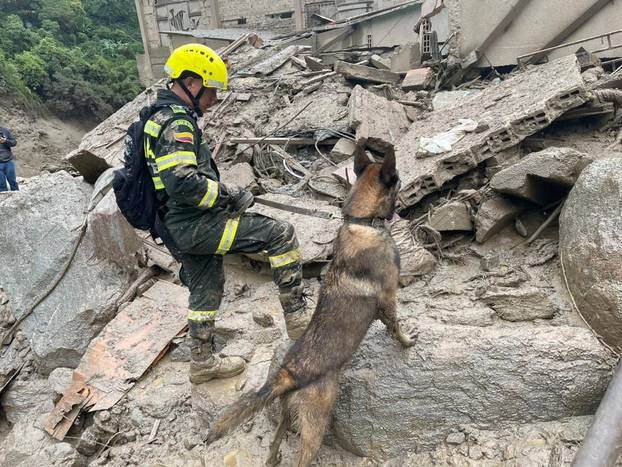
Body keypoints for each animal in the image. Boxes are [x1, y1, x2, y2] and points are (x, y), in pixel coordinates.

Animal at [207, 144, 416, 466]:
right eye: (399, 182)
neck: (361, 220)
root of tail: (287, 374)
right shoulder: (388, 294)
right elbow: (395, 323)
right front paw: (406, 342)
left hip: (287, 415)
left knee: (274, 444)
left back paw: (272, 458)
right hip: (316, 421)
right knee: (303, 456)